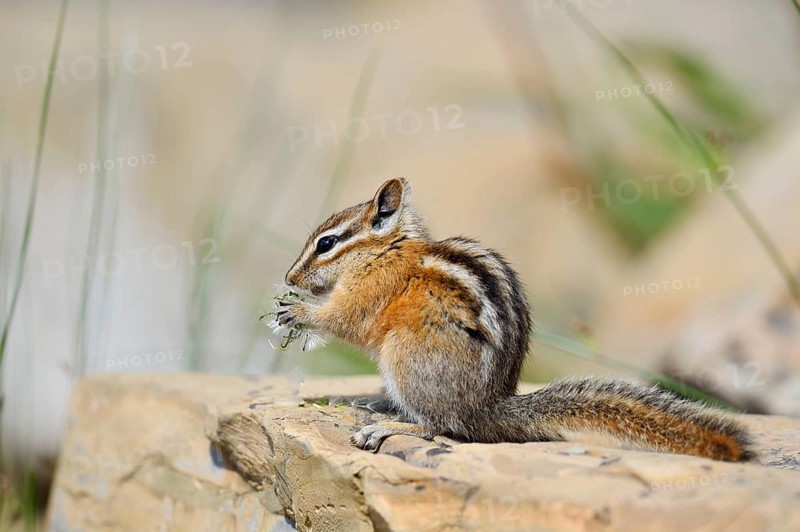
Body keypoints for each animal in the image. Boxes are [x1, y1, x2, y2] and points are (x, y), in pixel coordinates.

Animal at [276, 178, 752, 462]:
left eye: (326, 243)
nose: (289, 278)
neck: (387, 251)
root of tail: (486, 408)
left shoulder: (372, 290)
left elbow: (345, 319)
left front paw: (297, 311)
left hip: (407, 358)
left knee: (439, 426)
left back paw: (384, 426)